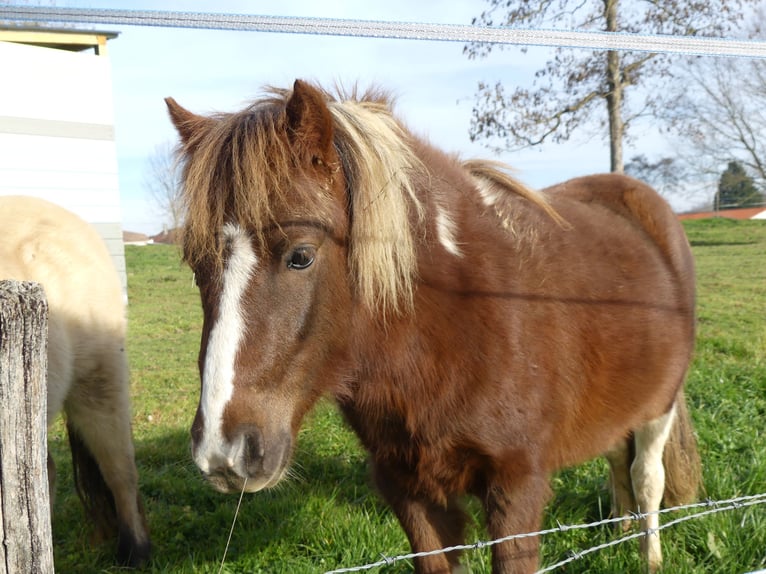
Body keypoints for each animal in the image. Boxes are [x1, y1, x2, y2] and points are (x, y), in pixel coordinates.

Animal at [166, 79, 702, 574]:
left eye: (300, 255)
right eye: (195, 266)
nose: (223, 453)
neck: (456, 323)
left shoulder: (516, 486)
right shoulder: (409, 487)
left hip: (659, 407)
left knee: (646, 477)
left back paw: (648, 555)